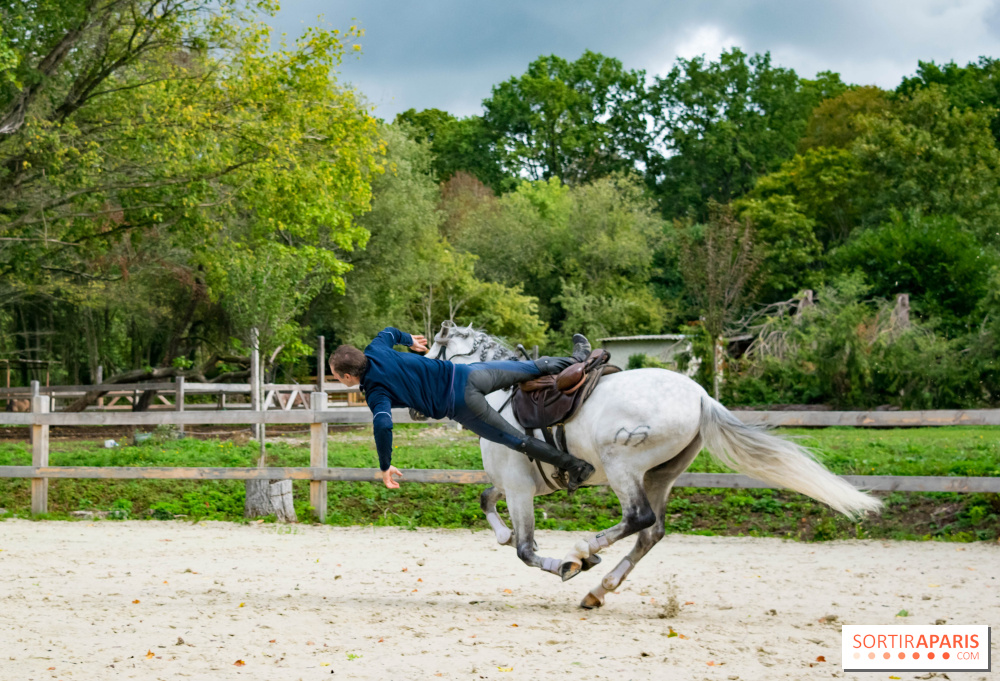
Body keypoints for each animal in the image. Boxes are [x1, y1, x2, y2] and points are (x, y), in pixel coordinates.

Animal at [426, 322, 880, 608]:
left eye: (432, 347)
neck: (500, 394)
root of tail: (701, 396)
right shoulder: (514, 484)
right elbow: (487, 500)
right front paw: (507, 537)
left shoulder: (520, 489)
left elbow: (524, 549)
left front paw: (568, 564)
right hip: (660, 475)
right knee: (652, 531)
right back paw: (599, 589)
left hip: (623, 466)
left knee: (638, 518)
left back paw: (585, 551)